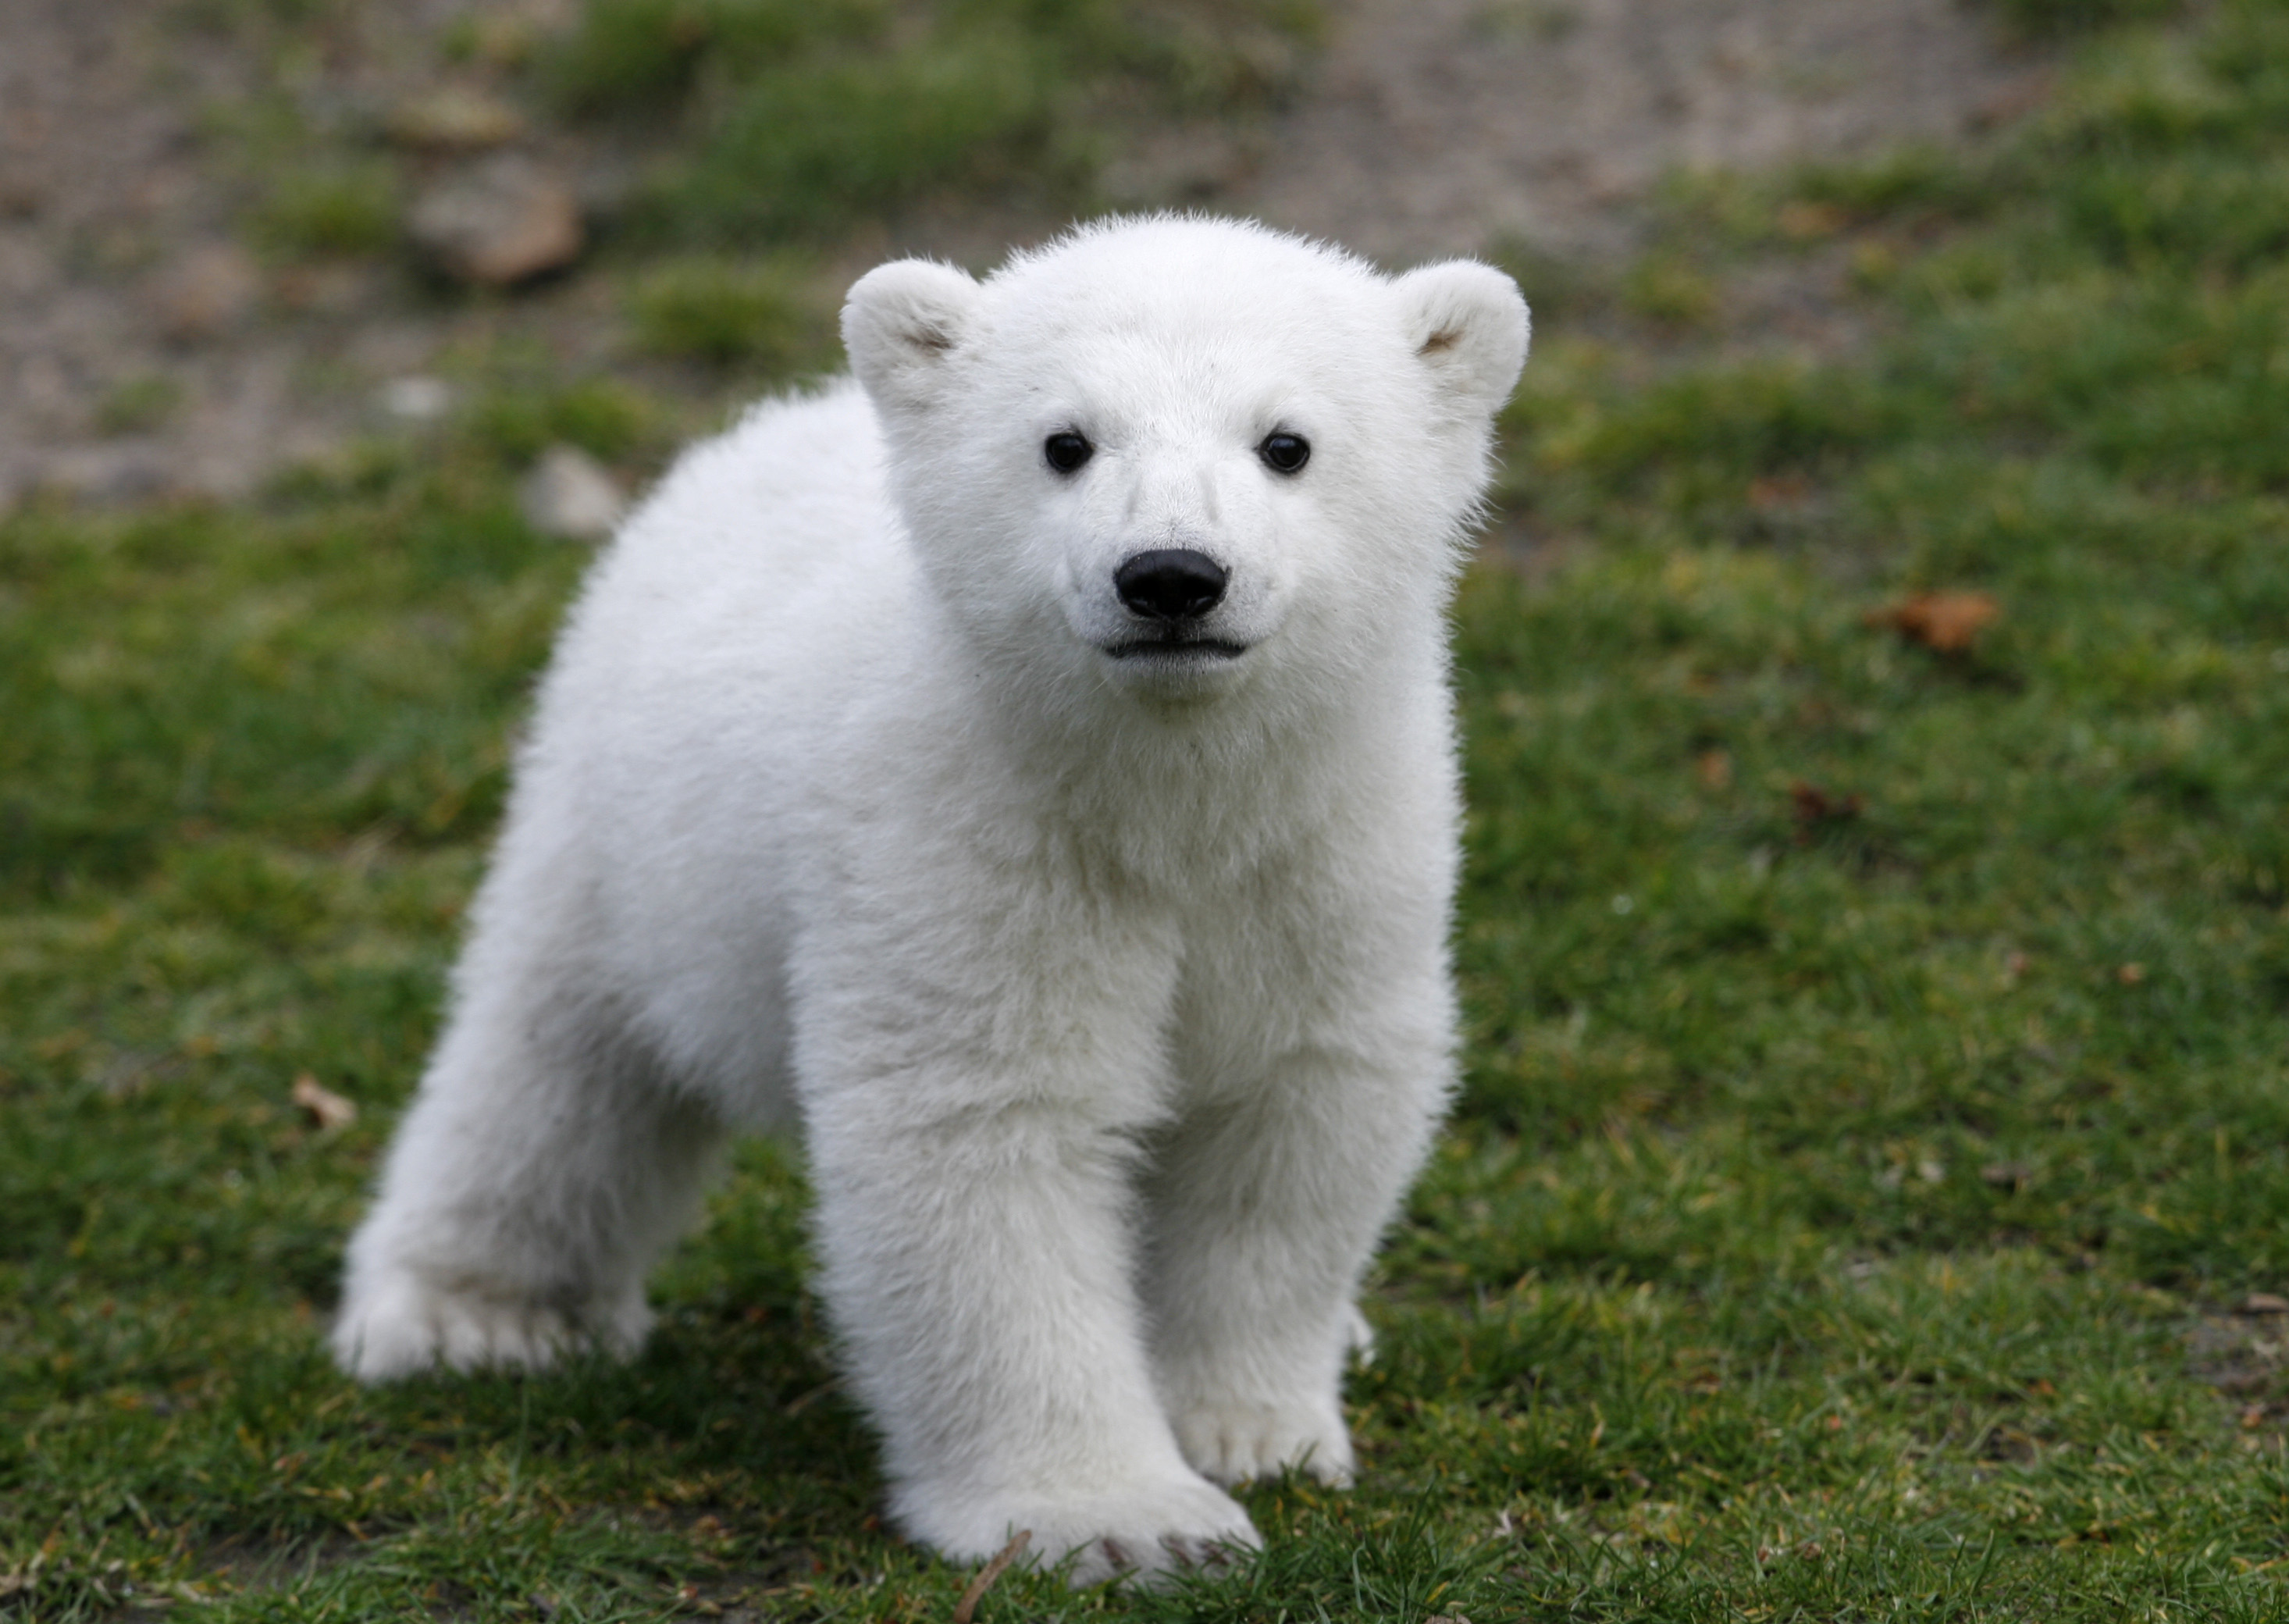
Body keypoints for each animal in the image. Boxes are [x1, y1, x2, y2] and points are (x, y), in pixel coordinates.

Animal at [331, 215, 1529, 1583]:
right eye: (1065, 441)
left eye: (1288, 443)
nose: (1172, 577)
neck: (1163, 795)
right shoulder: (969, 839)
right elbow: (987, 1132)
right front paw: (1124, 1518)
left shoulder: (1323, 853)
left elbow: (1293, 1112)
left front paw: (1253, 1432)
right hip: (622, 827)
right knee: (556, 1066)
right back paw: (471, 1315)